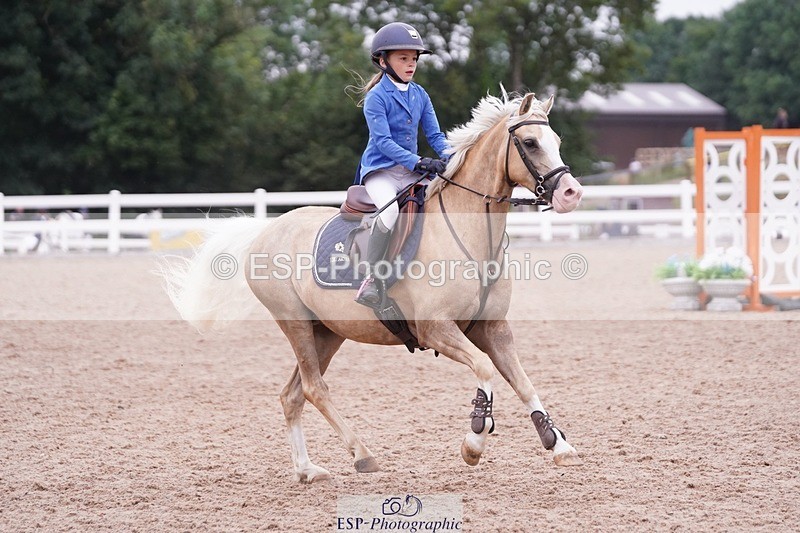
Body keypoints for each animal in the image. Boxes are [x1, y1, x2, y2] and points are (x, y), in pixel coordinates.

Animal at [162, 91, 584, 483]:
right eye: (529, 143)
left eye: (556, 140)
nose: (571, 193)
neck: (471, 237)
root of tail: (266, 230)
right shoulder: (436, 329)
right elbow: (484, 369)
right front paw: (474, 442)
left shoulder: (493, 328)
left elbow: (524, 382)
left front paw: (558, 444)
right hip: (295, 324)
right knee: (314, 389)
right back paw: (362, 454)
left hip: (327, 332)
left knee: (292, 395)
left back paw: (307, 469)